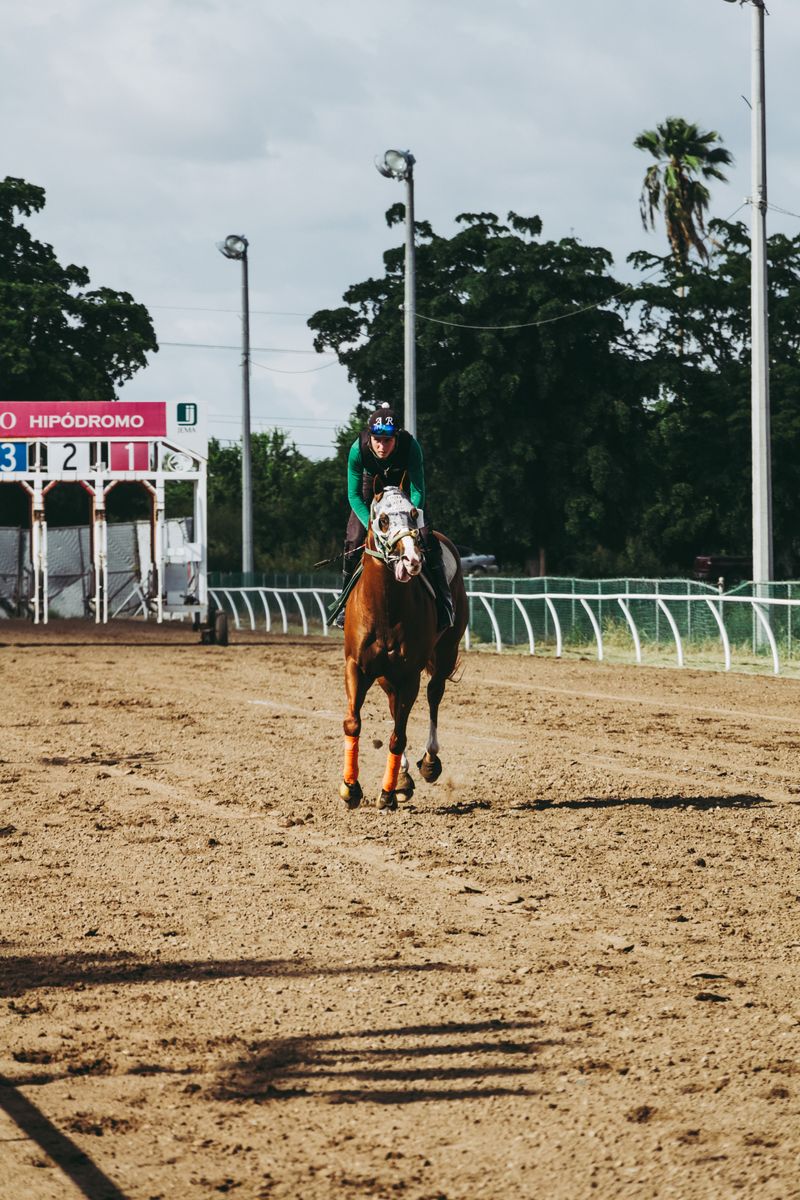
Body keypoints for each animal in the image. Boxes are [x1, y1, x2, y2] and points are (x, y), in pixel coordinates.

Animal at [340, 487, 470, 816]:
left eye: (413, 512)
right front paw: (350, 788)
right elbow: (354, 722)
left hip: (447, 649)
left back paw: (429, 762)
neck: (385, 607)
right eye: (383, 519)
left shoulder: (410, 673)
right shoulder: (357, 666)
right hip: (386, 675)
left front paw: (386, 795)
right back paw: (401, 777)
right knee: (392, 703)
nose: (412, 558)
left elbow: (398, 737)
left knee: (434, 694)